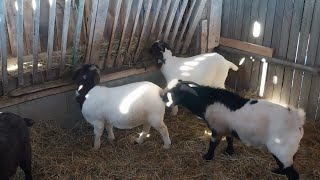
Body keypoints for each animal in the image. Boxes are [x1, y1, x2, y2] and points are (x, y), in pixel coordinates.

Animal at [162, 80, 304, 180]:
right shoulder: (227, 127)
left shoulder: (217, 128)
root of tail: (297, 119)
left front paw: (207, 157)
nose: (162, 97)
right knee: (288, 164)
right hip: (287, 149)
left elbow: (213, 144)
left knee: (293, 174)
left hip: (282, 148)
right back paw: (278, 171)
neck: (207, 101)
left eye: (173, 93)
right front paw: (229, 152)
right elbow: (230, 138)